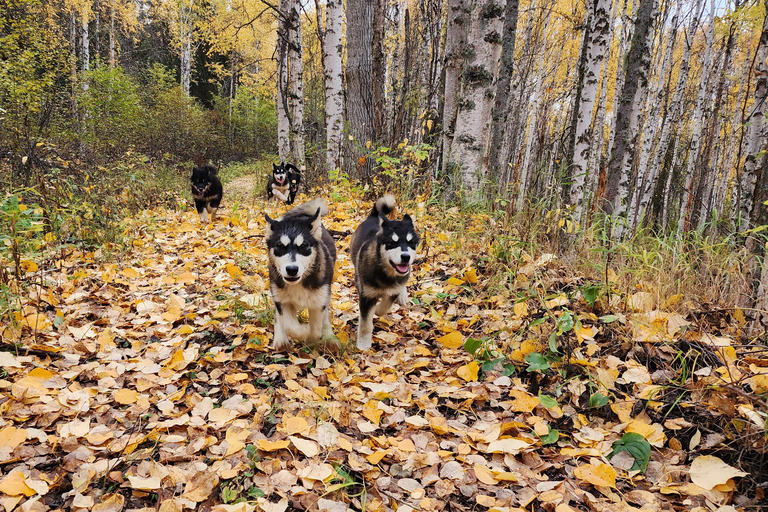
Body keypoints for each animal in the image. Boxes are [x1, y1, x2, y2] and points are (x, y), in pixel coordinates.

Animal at [264, 197, 336, 352]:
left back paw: (329, 337)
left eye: (303, 246)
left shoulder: (318, 302)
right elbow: (290, 325)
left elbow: (316, 329)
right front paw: (303, 331)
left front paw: (311, 339)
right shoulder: (282, 300)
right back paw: (280, 339)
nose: (292, 269)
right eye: (280, 246)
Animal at [350, 194, 420, 350]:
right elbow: (366, 324)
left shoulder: (393, 290)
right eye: (392, 243)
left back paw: (403, 295)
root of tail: (373, 216)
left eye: (411, 243)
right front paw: (363, 344)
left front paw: (377, 310)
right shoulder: (367, 296)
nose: (405, 257)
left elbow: (385, 307)